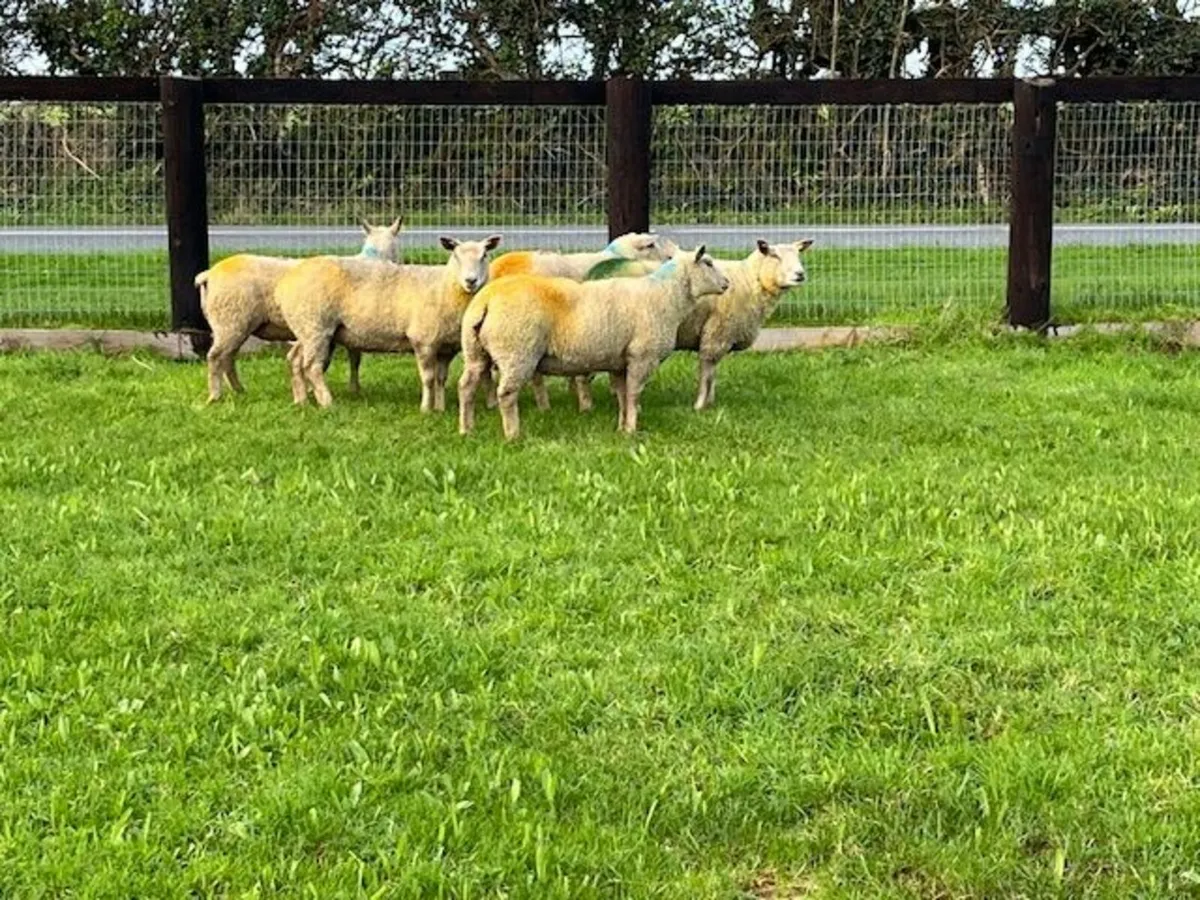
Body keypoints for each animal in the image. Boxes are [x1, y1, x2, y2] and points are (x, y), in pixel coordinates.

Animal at [196, 217, 403, 403]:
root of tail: (208, 275)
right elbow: (350, 359)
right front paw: (349, 390)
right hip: (231, 319)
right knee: (215, 356)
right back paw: (215, 396)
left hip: (232, 324)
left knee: (228, 357)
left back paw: (239, 390)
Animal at [277, 234, 502, 410]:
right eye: (456, 255)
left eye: (484, 255)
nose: (471, 281)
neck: (444, 286)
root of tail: (287, 280)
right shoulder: (423, 340)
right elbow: (428, 378)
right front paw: (426, 409)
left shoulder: (446, 347)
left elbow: (440, 379)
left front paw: (440, 408)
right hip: (315, 327)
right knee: (312, 366)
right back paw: (327, 403)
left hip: (308, 329)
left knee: (295, 359)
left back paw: (302, 401)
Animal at [458, 245, 730, 440]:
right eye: (708, 262)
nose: (727, 284)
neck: (666, 295)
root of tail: (487, 299)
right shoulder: (642, 357)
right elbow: (634, 394)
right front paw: (632, 429)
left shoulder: (621, 361)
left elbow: (622, 394)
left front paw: (622, 427)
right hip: (517, 352)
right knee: (506, 393)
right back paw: (513, 435)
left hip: (475, 350)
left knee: (466, 386)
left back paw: (467, 429)